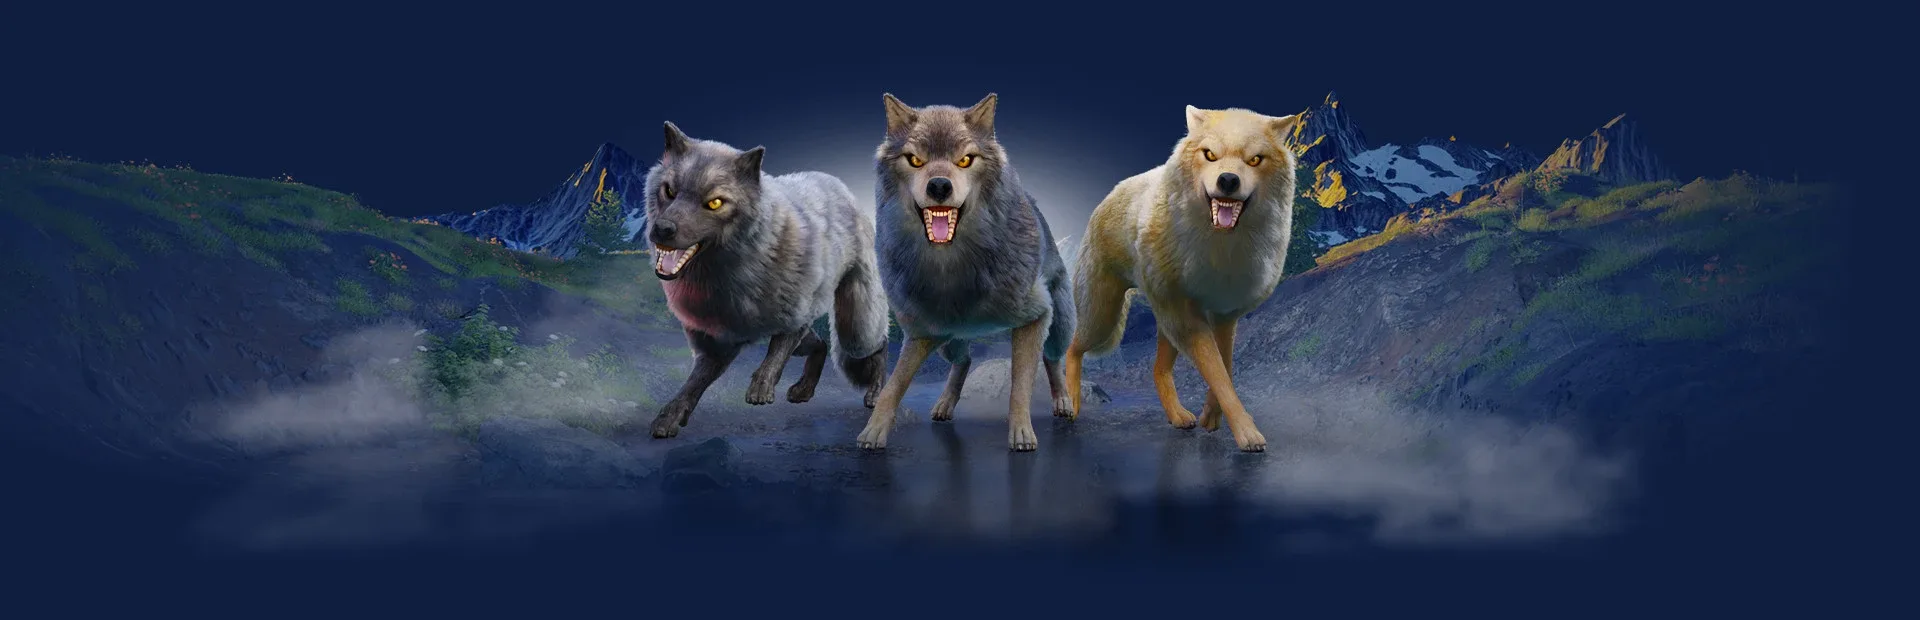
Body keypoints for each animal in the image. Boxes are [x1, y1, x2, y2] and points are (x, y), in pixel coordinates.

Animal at [643, 121, 890, 439]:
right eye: (670, 191)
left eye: (715, 203)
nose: (662, 230)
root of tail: (839, 186)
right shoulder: (717, 345)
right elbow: (693, 384)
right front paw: (671, 415)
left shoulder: (797, 316)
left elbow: (775, 353)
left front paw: (761, 387)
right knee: (821, 344)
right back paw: (804, 389)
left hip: (854, 331)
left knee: (878, 348)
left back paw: (875, 393)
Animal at [856, 93, 1076, 452]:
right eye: (915, 160)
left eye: (965, 160)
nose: (939, 186)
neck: (952, 268)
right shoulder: (921, 331)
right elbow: (893, 386)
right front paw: (873, 431)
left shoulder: (1035, 315)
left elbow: (1021, 385)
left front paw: (1022, 433)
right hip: (948, 340)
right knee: (964, 361)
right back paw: (945, 405)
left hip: (1061, 325)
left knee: (1053, 360)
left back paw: (1063, 402)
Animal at [1062, 105, 1301, 452]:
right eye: (1210, 155)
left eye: (1255, 160)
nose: (1228, 180)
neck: (1220, 249)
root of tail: (1114, 191)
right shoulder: (1189, 319)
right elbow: (1218, 372)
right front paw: (1247, 433)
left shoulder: (1224, 315)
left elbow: (1225, 367)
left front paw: (1211, 417)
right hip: (1105, 317)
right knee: (1073, 348)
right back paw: (1071, 403)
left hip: (1163, 321)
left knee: (1157, 370)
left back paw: (1177, 416)